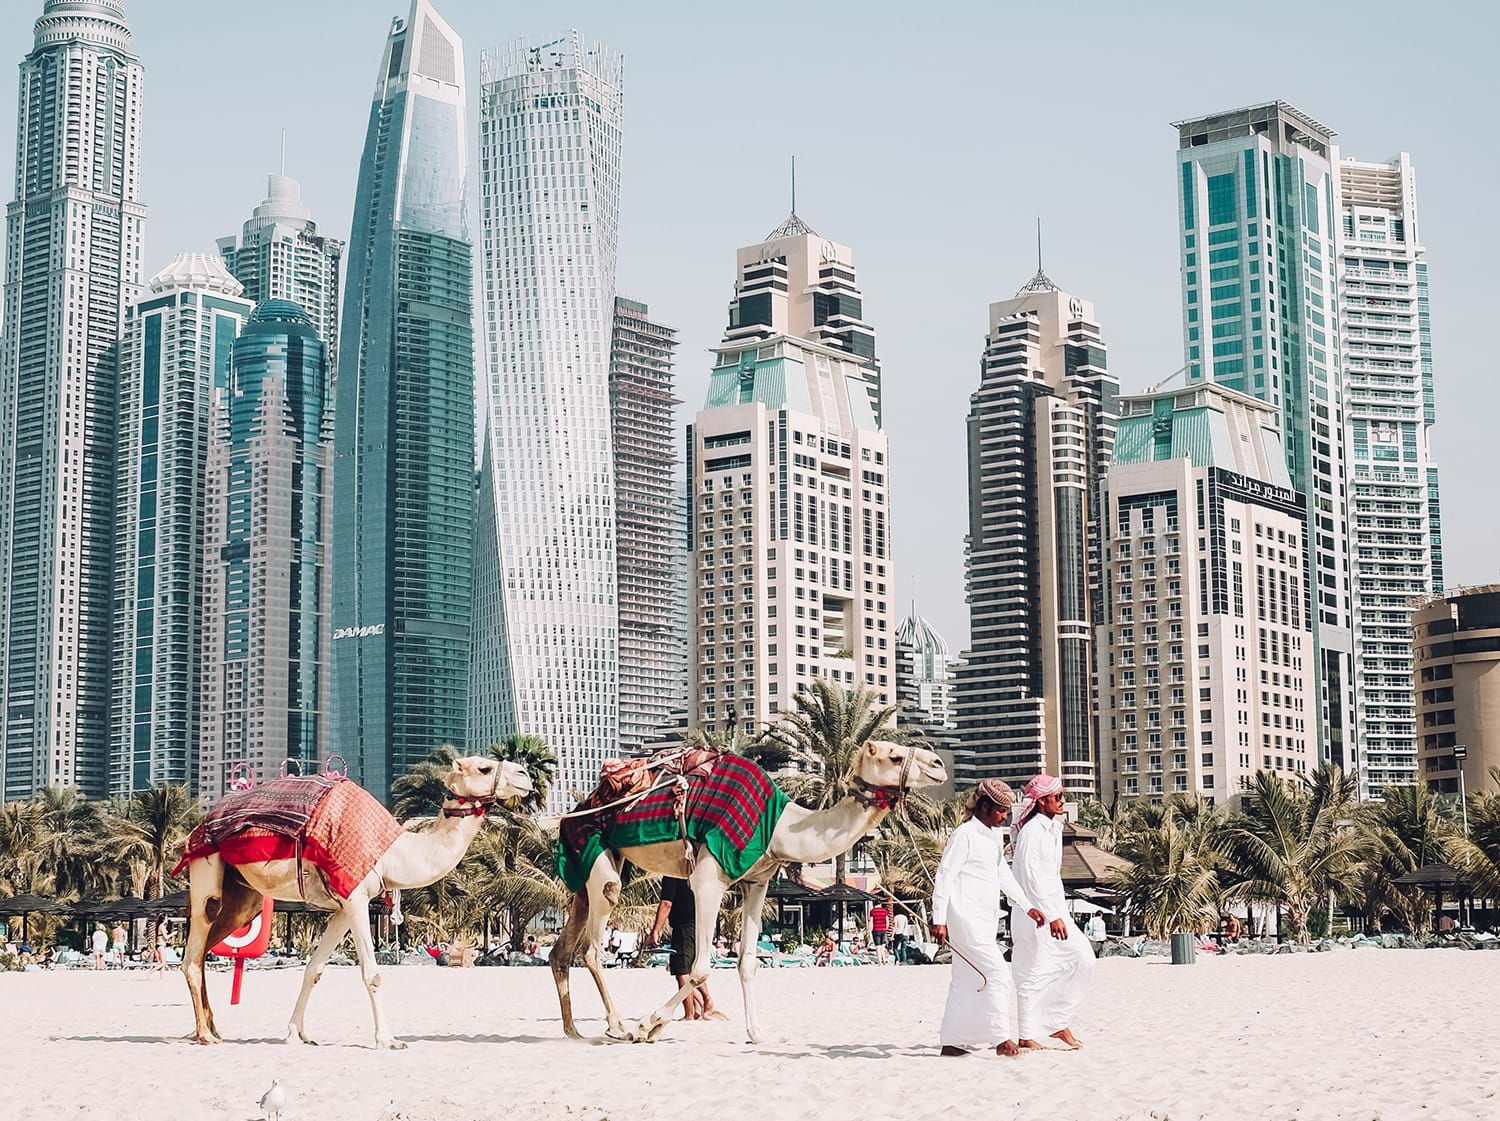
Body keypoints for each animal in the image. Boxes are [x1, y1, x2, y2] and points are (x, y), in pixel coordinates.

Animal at [174, 759, 534, 1050]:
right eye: (484, 768)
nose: (525, 775)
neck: (393, 853)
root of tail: (197, 828)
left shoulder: (343, 907)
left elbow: (314, 969)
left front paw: (296, 1033)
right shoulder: (356, 897)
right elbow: (372, 974)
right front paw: (387, 1040)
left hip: (243, 895)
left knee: (208, 948)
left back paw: (213, 1029)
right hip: (206, 867)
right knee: (193, 951)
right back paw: (204, 1035)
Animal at [552, 741, 948, 1050]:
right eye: (894, 756)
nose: (939, 764)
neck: (778, 828)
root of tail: (573, 812)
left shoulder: (757, 882)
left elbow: (748, 962)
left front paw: (757, 1033)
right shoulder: (708, 877)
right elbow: (701, 968)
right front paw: (648, 1025)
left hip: (589, 868)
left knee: (562, 950)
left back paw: (573, 1032)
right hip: (596, 854)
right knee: (592, 946)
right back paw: (618, 1027)